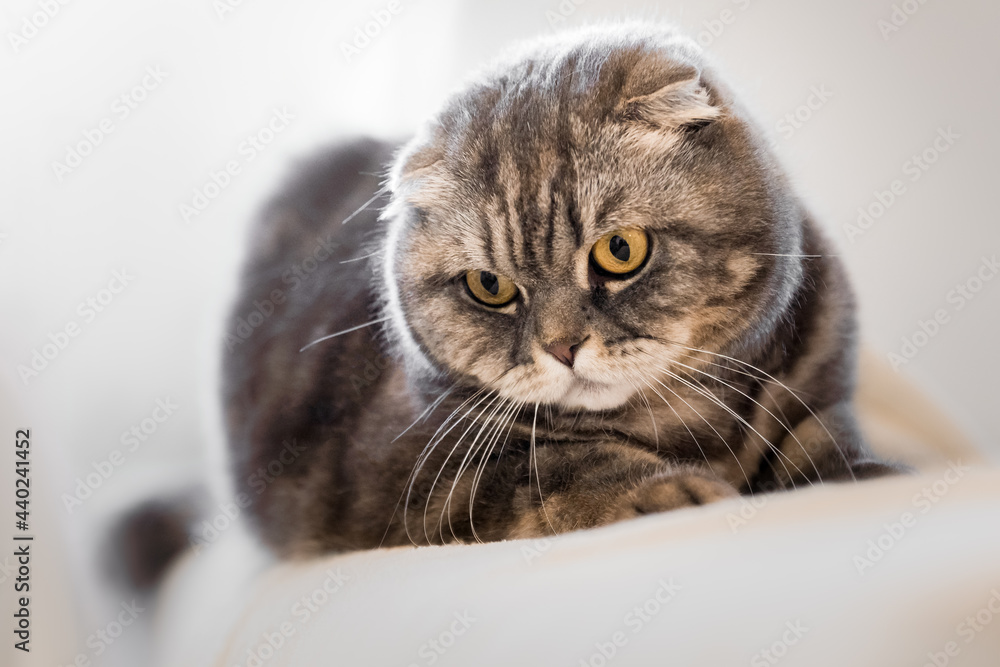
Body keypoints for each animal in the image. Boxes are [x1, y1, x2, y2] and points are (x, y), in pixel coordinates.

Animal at [223, 22, 904, 560]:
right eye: (489, 285)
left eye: (620, 250)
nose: (562, 348)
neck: (687, 424)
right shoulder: (409, 473)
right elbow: (561, 468)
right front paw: (670, 489)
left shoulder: (819, 393)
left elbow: (825, 446)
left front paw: (869, 475)